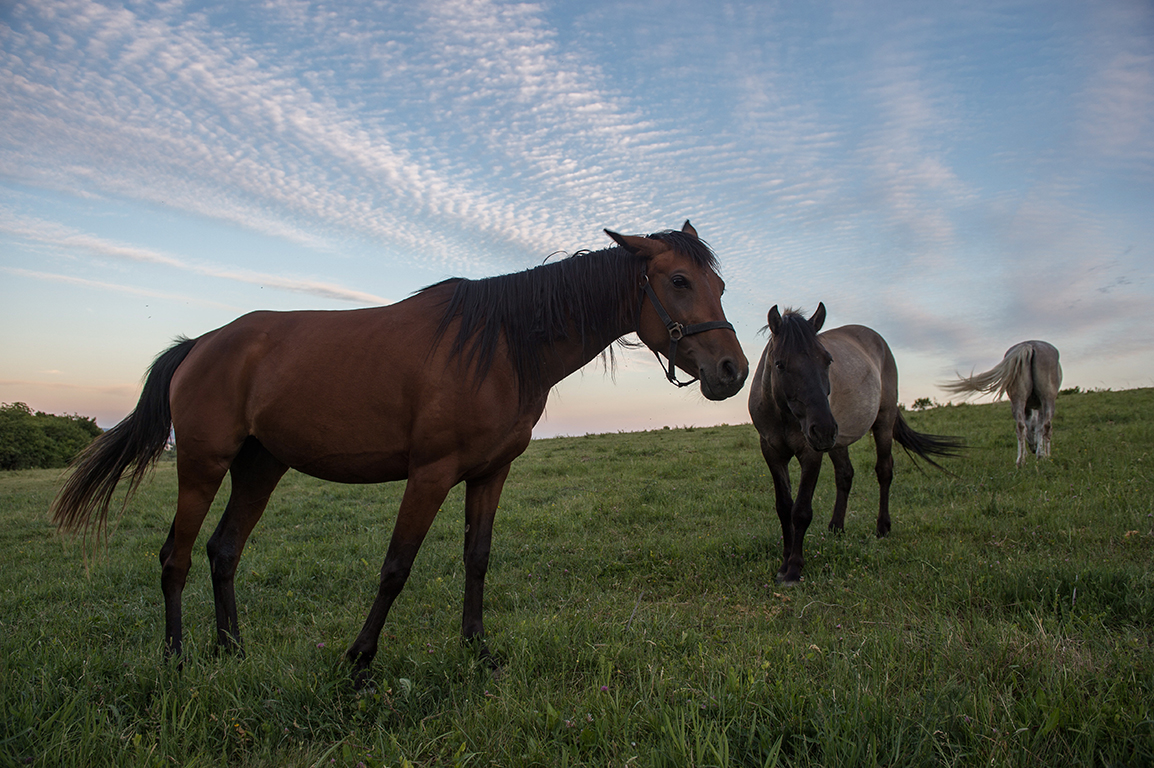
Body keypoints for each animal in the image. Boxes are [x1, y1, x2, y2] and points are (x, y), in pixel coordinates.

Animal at [51, 217, 747, 678]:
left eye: (717, 285)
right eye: (678, 280)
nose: (733, 371)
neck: (501, 345)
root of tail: (201, 344)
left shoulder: (490, 474)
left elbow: (477, 560)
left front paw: (477, 650)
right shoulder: (430, 474)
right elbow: (396, 567)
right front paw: (359, 660)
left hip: (260, 466)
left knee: (224, 551)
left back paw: (232, 651)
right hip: (202, 465)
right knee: (176, 556)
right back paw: (175, 660)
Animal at [743, 304, 960, 581]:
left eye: (827, 360)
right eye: (780, 364)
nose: (823, 429)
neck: (783, 414)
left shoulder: (810, 452)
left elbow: (800, 511)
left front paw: (793, 568)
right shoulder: (772, 452)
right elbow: (784, 507)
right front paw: (784, 562)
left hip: (881, 422)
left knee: (884, 471)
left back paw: (882, 527)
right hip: (838, 441)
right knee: (845, 475)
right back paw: (836, 527)